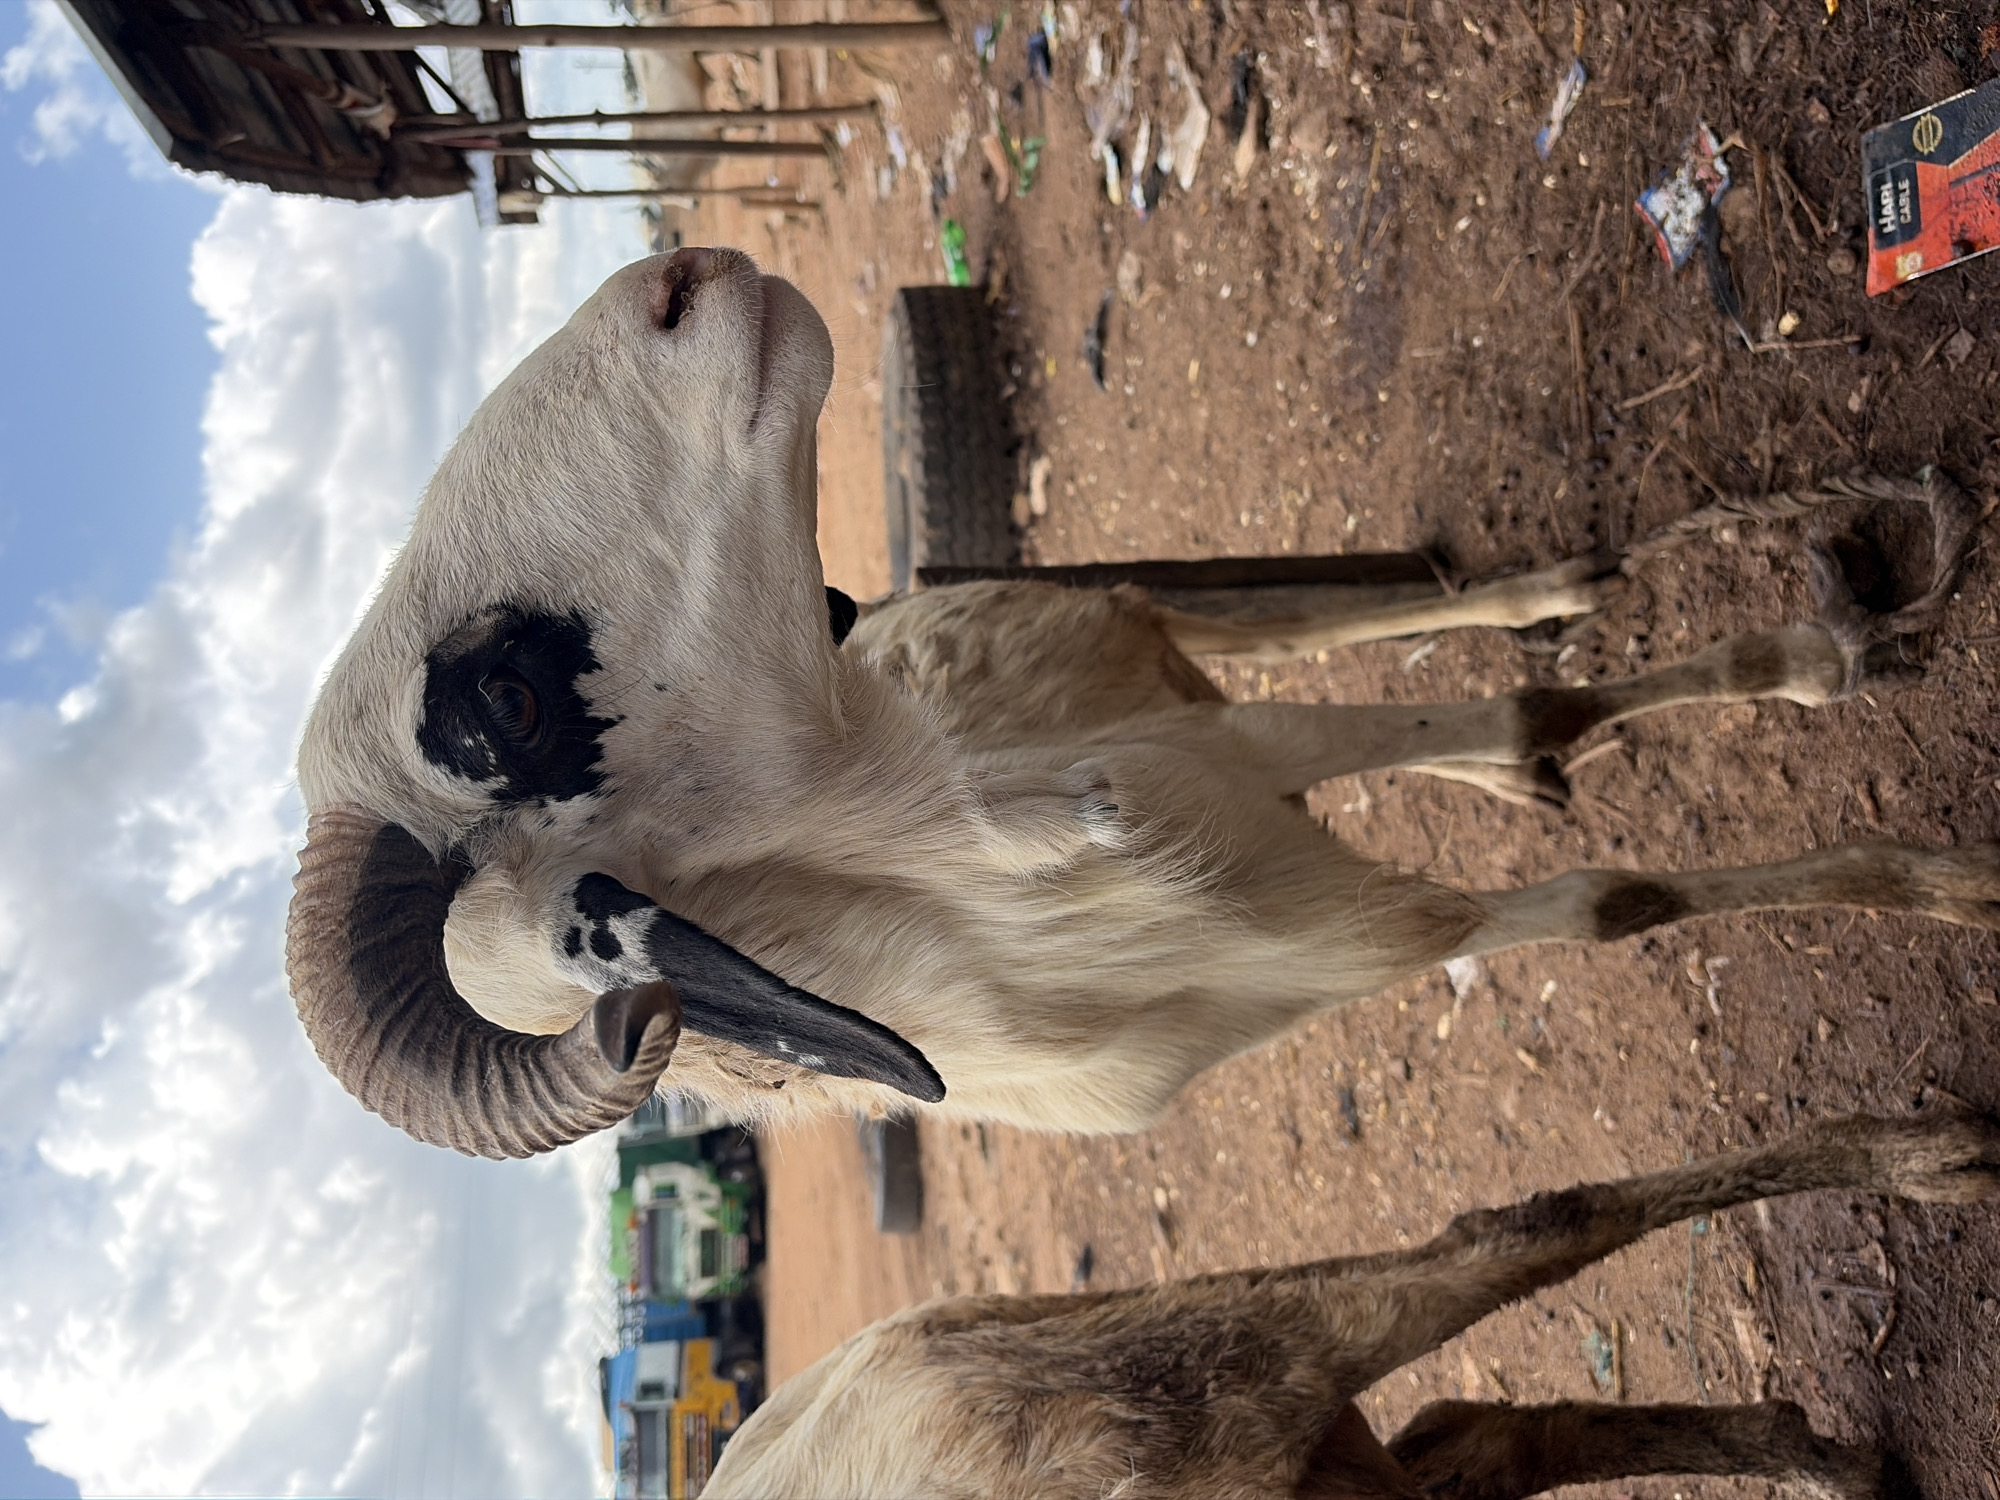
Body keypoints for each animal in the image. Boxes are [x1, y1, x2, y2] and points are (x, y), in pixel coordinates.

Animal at [286, 247, 1994, 1157]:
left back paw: (1588, 592)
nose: (676, 281)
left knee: (1361, 622)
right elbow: (1609, 899)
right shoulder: (1348, 941)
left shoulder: (1216, 754)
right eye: (499, 702)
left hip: (1141, 634)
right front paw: (1945, 881)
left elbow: (1527, 733)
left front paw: (1854, 722)